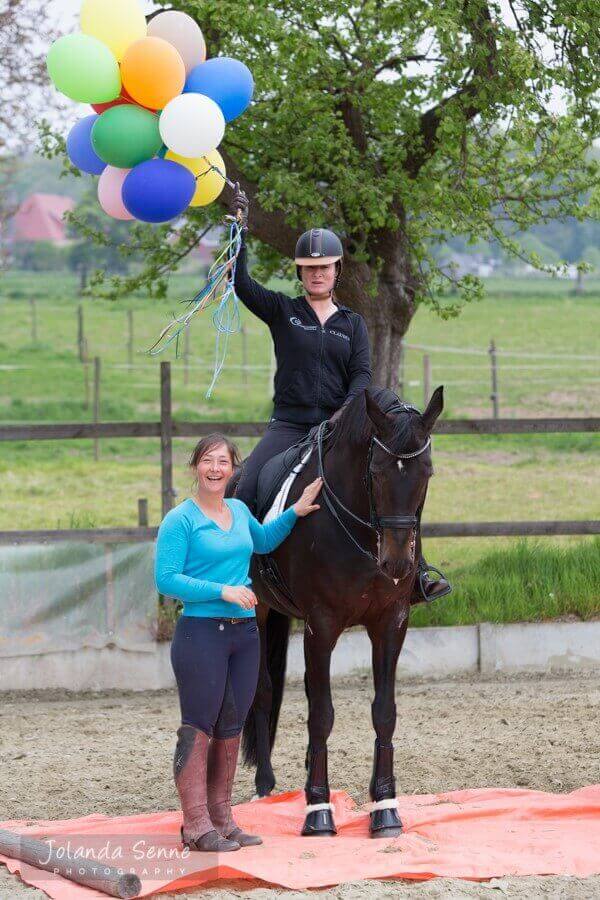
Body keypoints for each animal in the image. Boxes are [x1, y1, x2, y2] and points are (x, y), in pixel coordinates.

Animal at [227, 384, 442, 836]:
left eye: (426, 473)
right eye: (376, 472)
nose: (396, 563)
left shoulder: (391, 623)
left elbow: (384, 712)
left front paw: (385, 808)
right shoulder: (322, 625)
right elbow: (321, 714)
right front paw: (318, 811)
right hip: (258, 611)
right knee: (265, 691)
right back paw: (265, 786)